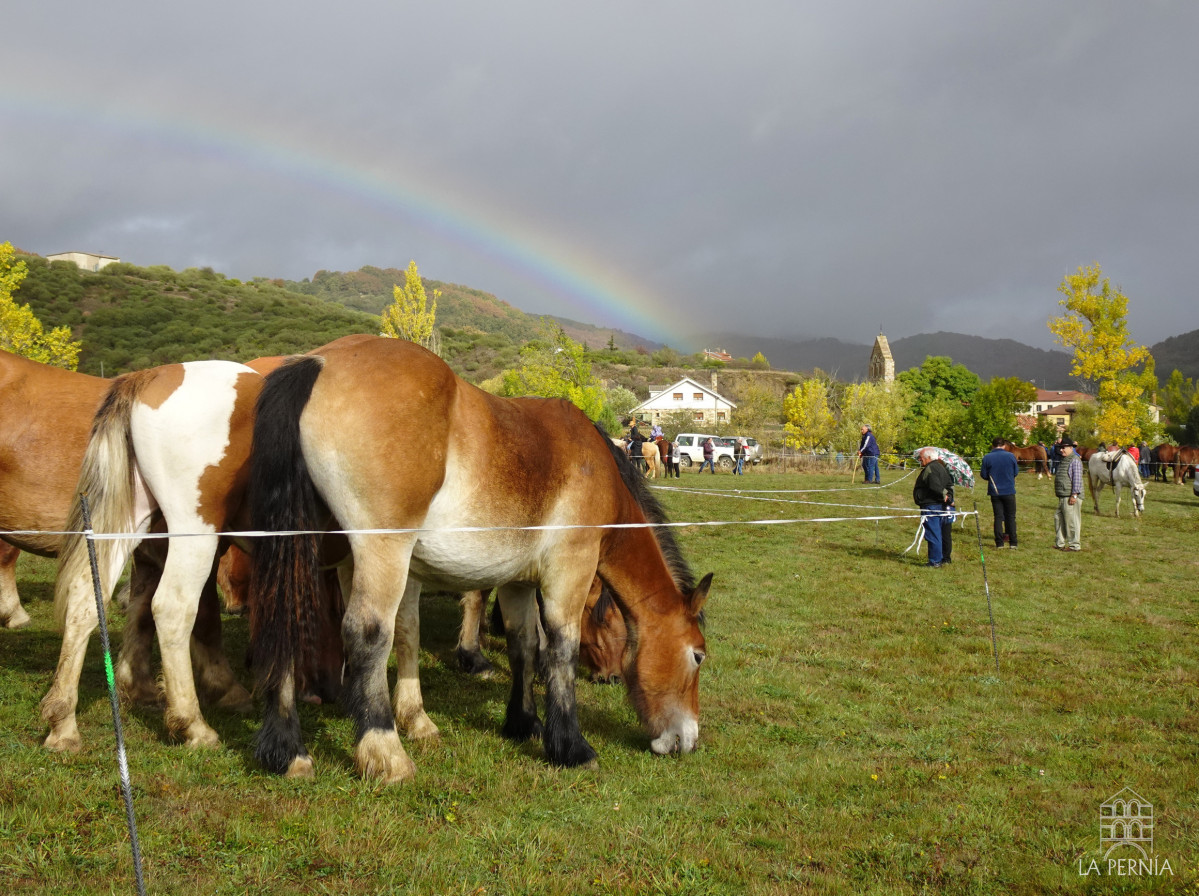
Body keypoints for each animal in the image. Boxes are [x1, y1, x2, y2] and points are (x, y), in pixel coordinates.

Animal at [246, 335, 705, 786]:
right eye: (698, 655)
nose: (688, 739)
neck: (598, 468)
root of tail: (318, 362)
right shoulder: (569, 570)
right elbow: (561, 650)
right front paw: (571, 747)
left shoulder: (519, 582)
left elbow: (525, 646)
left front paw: (523, 721)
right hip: (383, 554)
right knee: (368, 634)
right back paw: (386, 754)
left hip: (307, 551)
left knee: (286, 621)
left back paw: (287, 751)